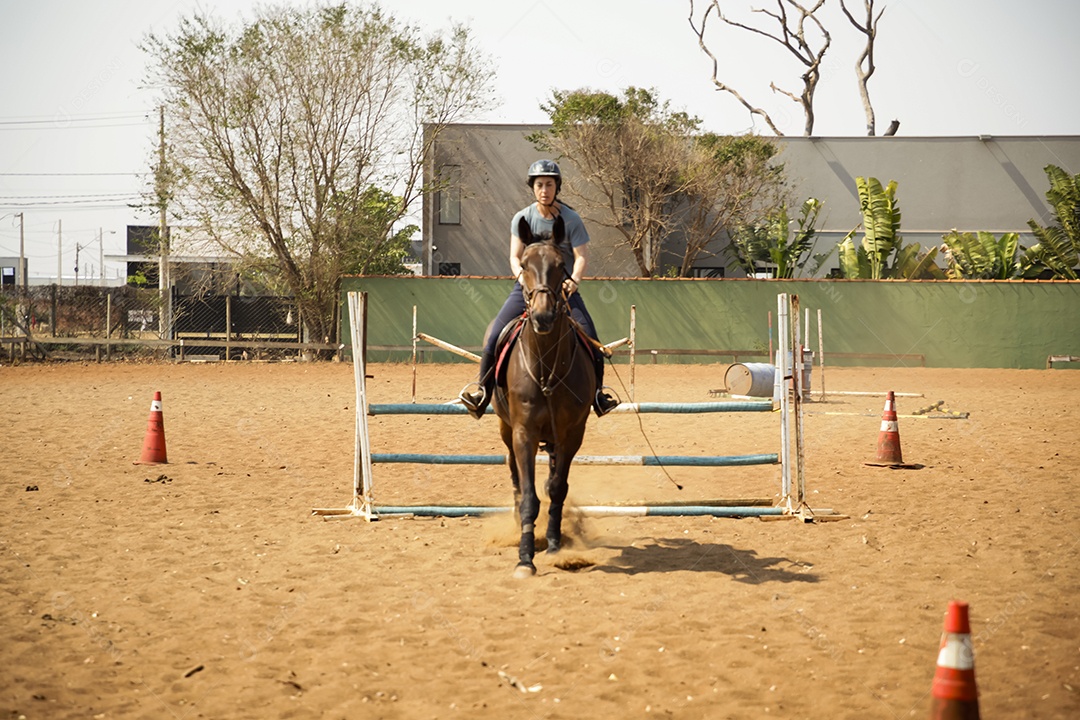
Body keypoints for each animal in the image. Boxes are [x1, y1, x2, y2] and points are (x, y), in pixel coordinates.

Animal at [492, 215, 596, 578]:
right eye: (524, 265)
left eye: (561, 265)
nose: (543, 316)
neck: (547, 366)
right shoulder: (523, 432)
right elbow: (528, 496)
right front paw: (525, 557)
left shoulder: (571, 434)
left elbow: (557, 489)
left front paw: (553, 543)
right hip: (506, 429)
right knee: (512, 471)